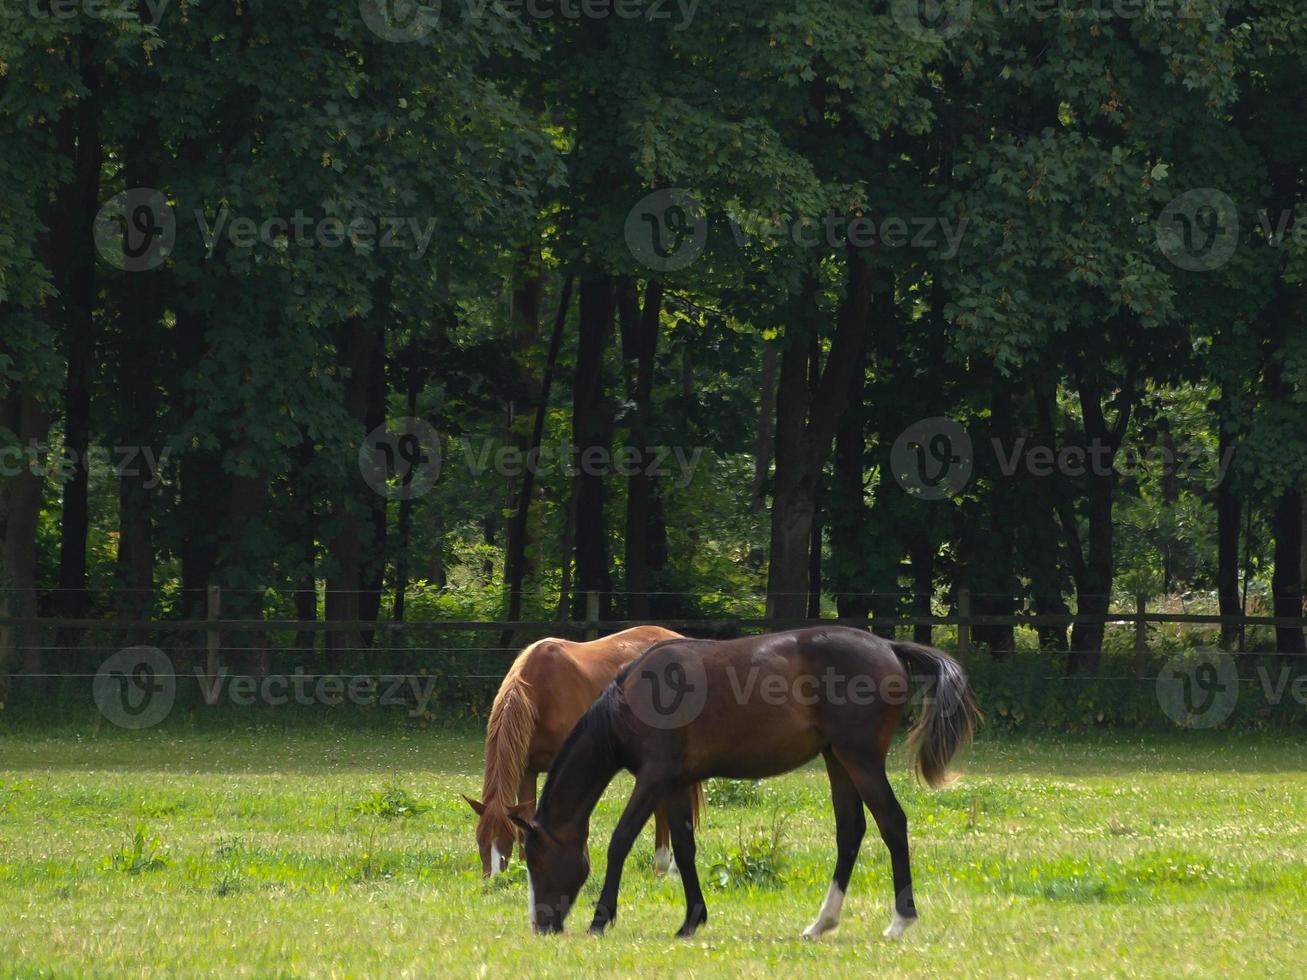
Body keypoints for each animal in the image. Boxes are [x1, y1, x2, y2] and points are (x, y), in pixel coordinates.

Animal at [462, 629, 705, 883]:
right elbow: (526, 820)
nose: (492, 879)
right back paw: (662, 866)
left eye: (504, 838)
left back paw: (670, 867)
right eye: (480, 839)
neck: (541, 691)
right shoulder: (526, 771)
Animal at [509, 632, 982, 940]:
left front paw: (600, 919)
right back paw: (821, 924)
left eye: (536, 859)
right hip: (839, 762)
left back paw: (900, 920)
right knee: (851, 831)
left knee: (892, 823)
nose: (540, 925)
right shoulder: (676, 783)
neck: (631, 699)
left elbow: (620, 840)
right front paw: (692, 920)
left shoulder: (653, 778)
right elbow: (684, 846)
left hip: (860, 761)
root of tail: (888, 646)